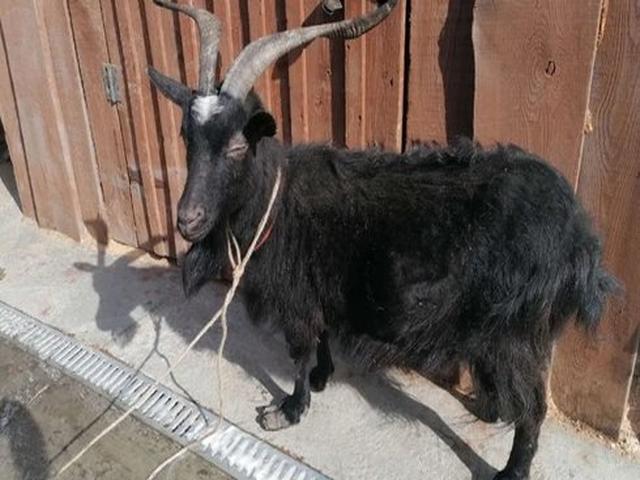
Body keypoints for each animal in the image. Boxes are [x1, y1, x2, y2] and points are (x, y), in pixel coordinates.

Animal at [147, 1, 616, 478]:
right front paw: (322, 377)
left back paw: (511, 468)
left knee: (534, 407)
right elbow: (321, 337)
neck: (277, 203)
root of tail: (578, 236)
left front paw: (290, 409)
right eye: (187, 137)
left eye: (239, 146)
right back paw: (489, 408)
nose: (187, 220)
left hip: (514, 330)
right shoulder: (319, 288)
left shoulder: (296, 298)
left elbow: (299, 350)